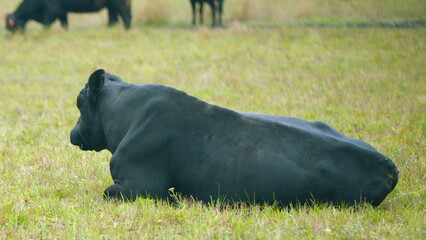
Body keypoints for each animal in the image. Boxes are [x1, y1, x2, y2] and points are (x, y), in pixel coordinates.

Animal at [70, 69, 400, 206]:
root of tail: (387, 164)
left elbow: (108, 192)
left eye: (79, 102)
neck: (129, 112)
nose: (72, 133)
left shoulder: (138, 186)